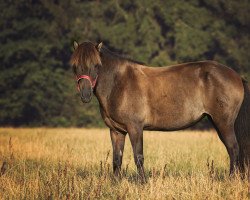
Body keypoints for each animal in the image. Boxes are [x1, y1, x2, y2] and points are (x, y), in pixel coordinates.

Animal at [70, 41, 250, 182]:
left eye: (97, 65)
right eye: (75, 66)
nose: (85, 94)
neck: (119, 83)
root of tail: (236, 76)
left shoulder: (135, 128)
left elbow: (138, 156)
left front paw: (142, 183)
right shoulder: (116, 131)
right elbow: (117, 159)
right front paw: (115, 183)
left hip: (224, 123)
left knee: (233, 148)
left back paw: (231, 179)